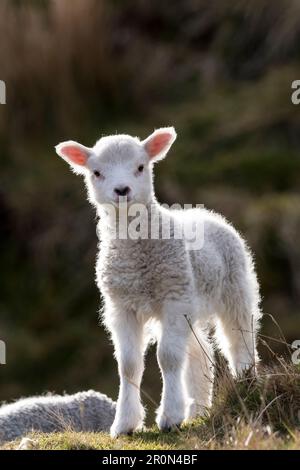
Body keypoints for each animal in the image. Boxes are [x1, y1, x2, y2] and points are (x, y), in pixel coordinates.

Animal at [55, 127, 260, 436]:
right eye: (97, 172)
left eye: (141, 167)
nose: (122, 190)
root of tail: (207, 214)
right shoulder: (122, 306)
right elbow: (129, 366)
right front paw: (125, 423)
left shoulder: (174, 299)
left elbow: (168, 358)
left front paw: (170, 417)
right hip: (192, 306)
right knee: (200, 354)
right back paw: (199, 410)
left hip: (234, 289)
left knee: (240, 338)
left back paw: (246, 385)